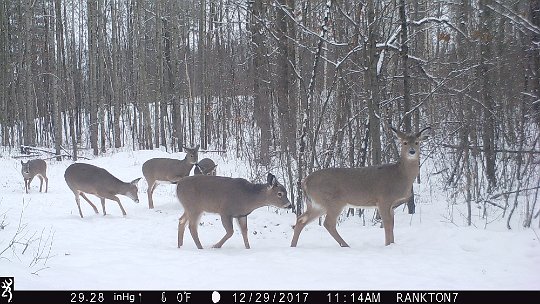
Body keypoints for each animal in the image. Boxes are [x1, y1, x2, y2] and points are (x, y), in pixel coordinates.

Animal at [292, 126, 430, 247]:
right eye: (405, 142)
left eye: (417, 142)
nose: (412, 151)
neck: (400, 175)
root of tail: (305, 182)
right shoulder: (383, 199)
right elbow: (387, 224)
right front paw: (388, 245)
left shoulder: (391, 205)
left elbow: (392, 224)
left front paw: (392, 244)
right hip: (333, 201)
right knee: (328, 223)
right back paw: (345, 245)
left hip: (316, 204)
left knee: (301, 219)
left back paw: (293, 245)